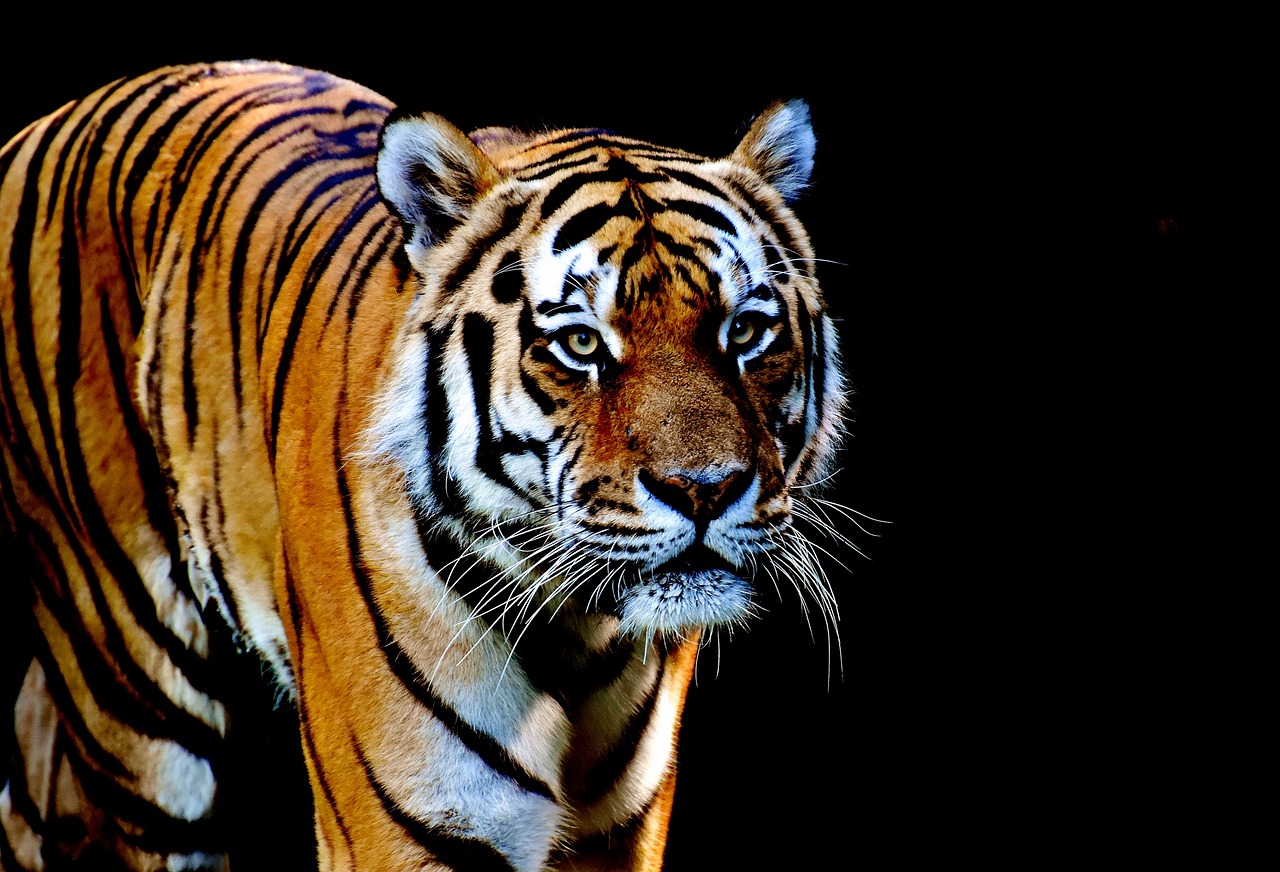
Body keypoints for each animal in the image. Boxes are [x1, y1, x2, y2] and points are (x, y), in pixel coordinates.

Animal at [0, 61, 848, 871]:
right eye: (580, 343)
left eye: (746, 331)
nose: (705, 491)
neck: (577, 636)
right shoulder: (414, 826)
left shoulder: (624, 829)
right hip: (137, 696)